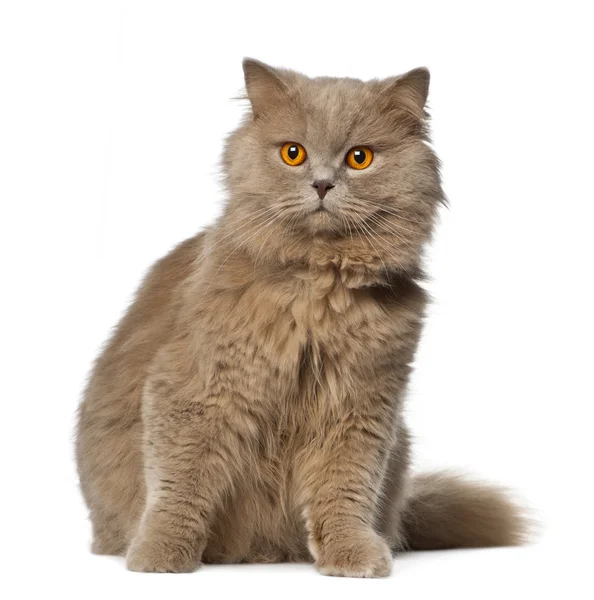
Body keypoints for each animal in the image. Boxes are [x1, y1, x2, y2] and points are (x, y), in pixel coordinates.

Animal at [76, 59, 524, 576]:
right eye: (294, 153)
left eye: (359, 158)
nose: (323, 184)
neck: (318, 285)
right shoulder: (195, 389)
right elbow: (179, 484)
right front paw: (159, 556)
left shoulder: (361, 405)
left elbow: (345, 491)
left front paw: (352, 554)